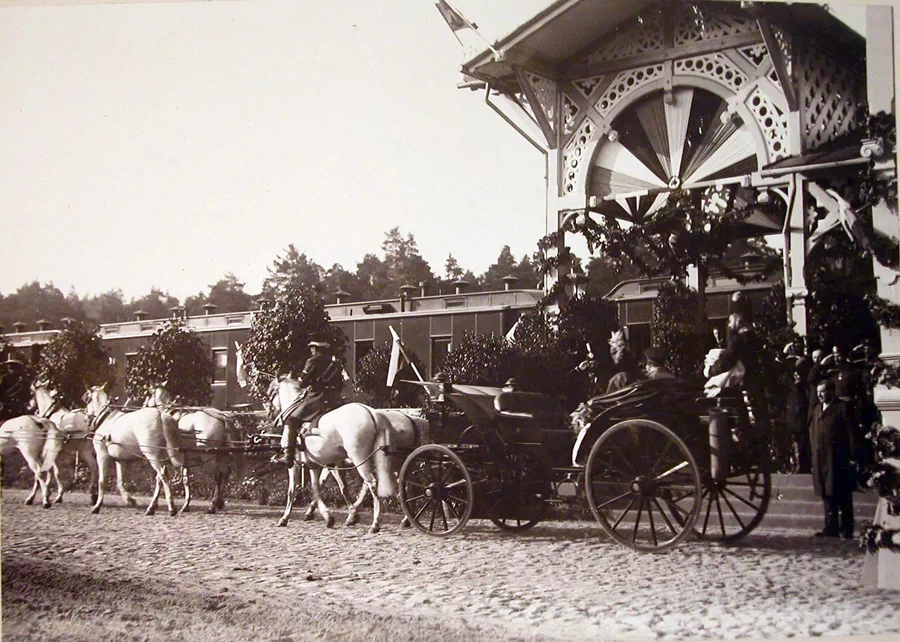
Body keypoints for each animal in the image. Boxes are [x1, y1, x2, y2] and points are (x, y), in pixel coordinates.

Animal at [84, 384, 185, 516]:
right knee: (160, 476)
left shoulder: (102, 455)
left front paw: (97, 506)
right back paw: (151, 508)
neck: (107, 419)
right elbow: (120, 482)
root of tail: (161, 415)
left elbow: (102, 481)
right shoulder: (120, 460)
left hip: (151, 455)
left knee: (162, 475)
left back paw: (171, 507)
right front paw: (129, 499)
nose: (85, 418)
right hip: (161, 455)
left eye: (87, 399)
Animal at [148, 384, 246, 516]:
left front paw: (153, 506)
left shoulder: (163, 459)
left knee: (218, 475)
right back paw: (219, 502)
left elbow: (160, 478)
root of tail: (221, 416)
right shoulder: (185, 460)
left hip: (209, 458)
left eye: (149, 394)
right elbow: (185, 480)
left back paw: (213, 505)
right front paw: (186, 505)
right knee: (225, 472)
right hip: (221, 455)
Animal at [268, 376, 430, 528]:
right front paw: (328, 515)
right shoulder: (321, 464)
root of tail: (373, 414)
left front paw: (286, 518)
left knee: (374, 483)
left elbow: (294, 491)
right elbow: (320, 486)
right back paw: (405, 518)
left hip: (362, 459)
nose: (271, 416)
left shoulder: (300, 464)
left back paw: (376, 522)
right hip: (391, 462)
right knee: (398, 485)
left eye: (271, 393)